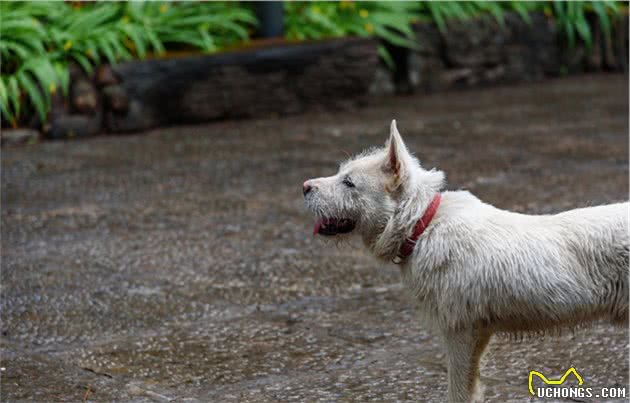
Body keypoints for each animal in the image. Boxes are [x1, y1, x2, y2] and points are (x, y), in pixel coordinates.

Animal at [304, 121, 628, 402]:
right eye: (341, 174)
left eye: (349, 183)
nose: (305, 186)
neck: (422, 224)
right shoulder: (477, 334)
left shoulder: (460, 331)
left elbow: (459, 391)